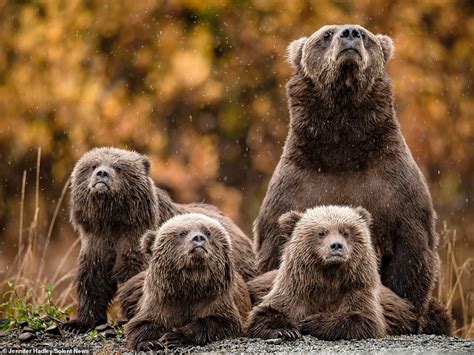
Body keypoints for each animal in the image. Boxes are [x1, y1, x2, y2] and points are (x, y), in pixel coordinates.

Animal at [65, 147, 256, 334]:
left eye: (118, 167)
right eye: (93, 165)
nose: (102, 174)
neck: (113, 223)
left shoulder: (134, 242)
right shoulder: (97, 243)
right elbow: (92, 280)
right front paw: (78, 323)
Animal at [126, 213, 252, 352]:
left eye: (208, 232)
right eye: (183, 233)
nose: (198, 238)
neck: (190, 285)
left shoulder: (216, 297)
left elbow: (221, 322)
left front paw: (174, 337)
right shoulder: (161, 301)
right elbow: (140, 324)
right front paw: (150, 342)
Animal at [248, 207, 388, 340]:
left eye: (345, 232)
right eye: (321, 233)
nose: (336, 245)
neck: (329, 275)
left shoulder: (356, 290)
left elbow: (363, 318)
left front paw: (311, 323)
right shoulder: (294, 292)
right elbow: (266, 312)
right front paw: (286, 330)